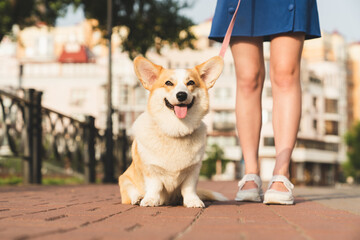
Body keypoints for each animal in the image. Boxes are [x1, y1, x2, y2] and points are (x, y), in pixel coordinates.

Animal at [118, 55, 225, 207]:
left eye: (191, 82)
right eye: (168, 83)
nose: (181, 95)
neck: (176, 130)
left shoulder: (193, 170)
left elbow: (189, 188)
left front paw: (193, 201)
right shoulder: (151, 169)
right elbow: (154, 186)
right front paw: (150, 200)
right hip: (124, 178)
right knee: (132, 190)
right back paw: (138, 198)